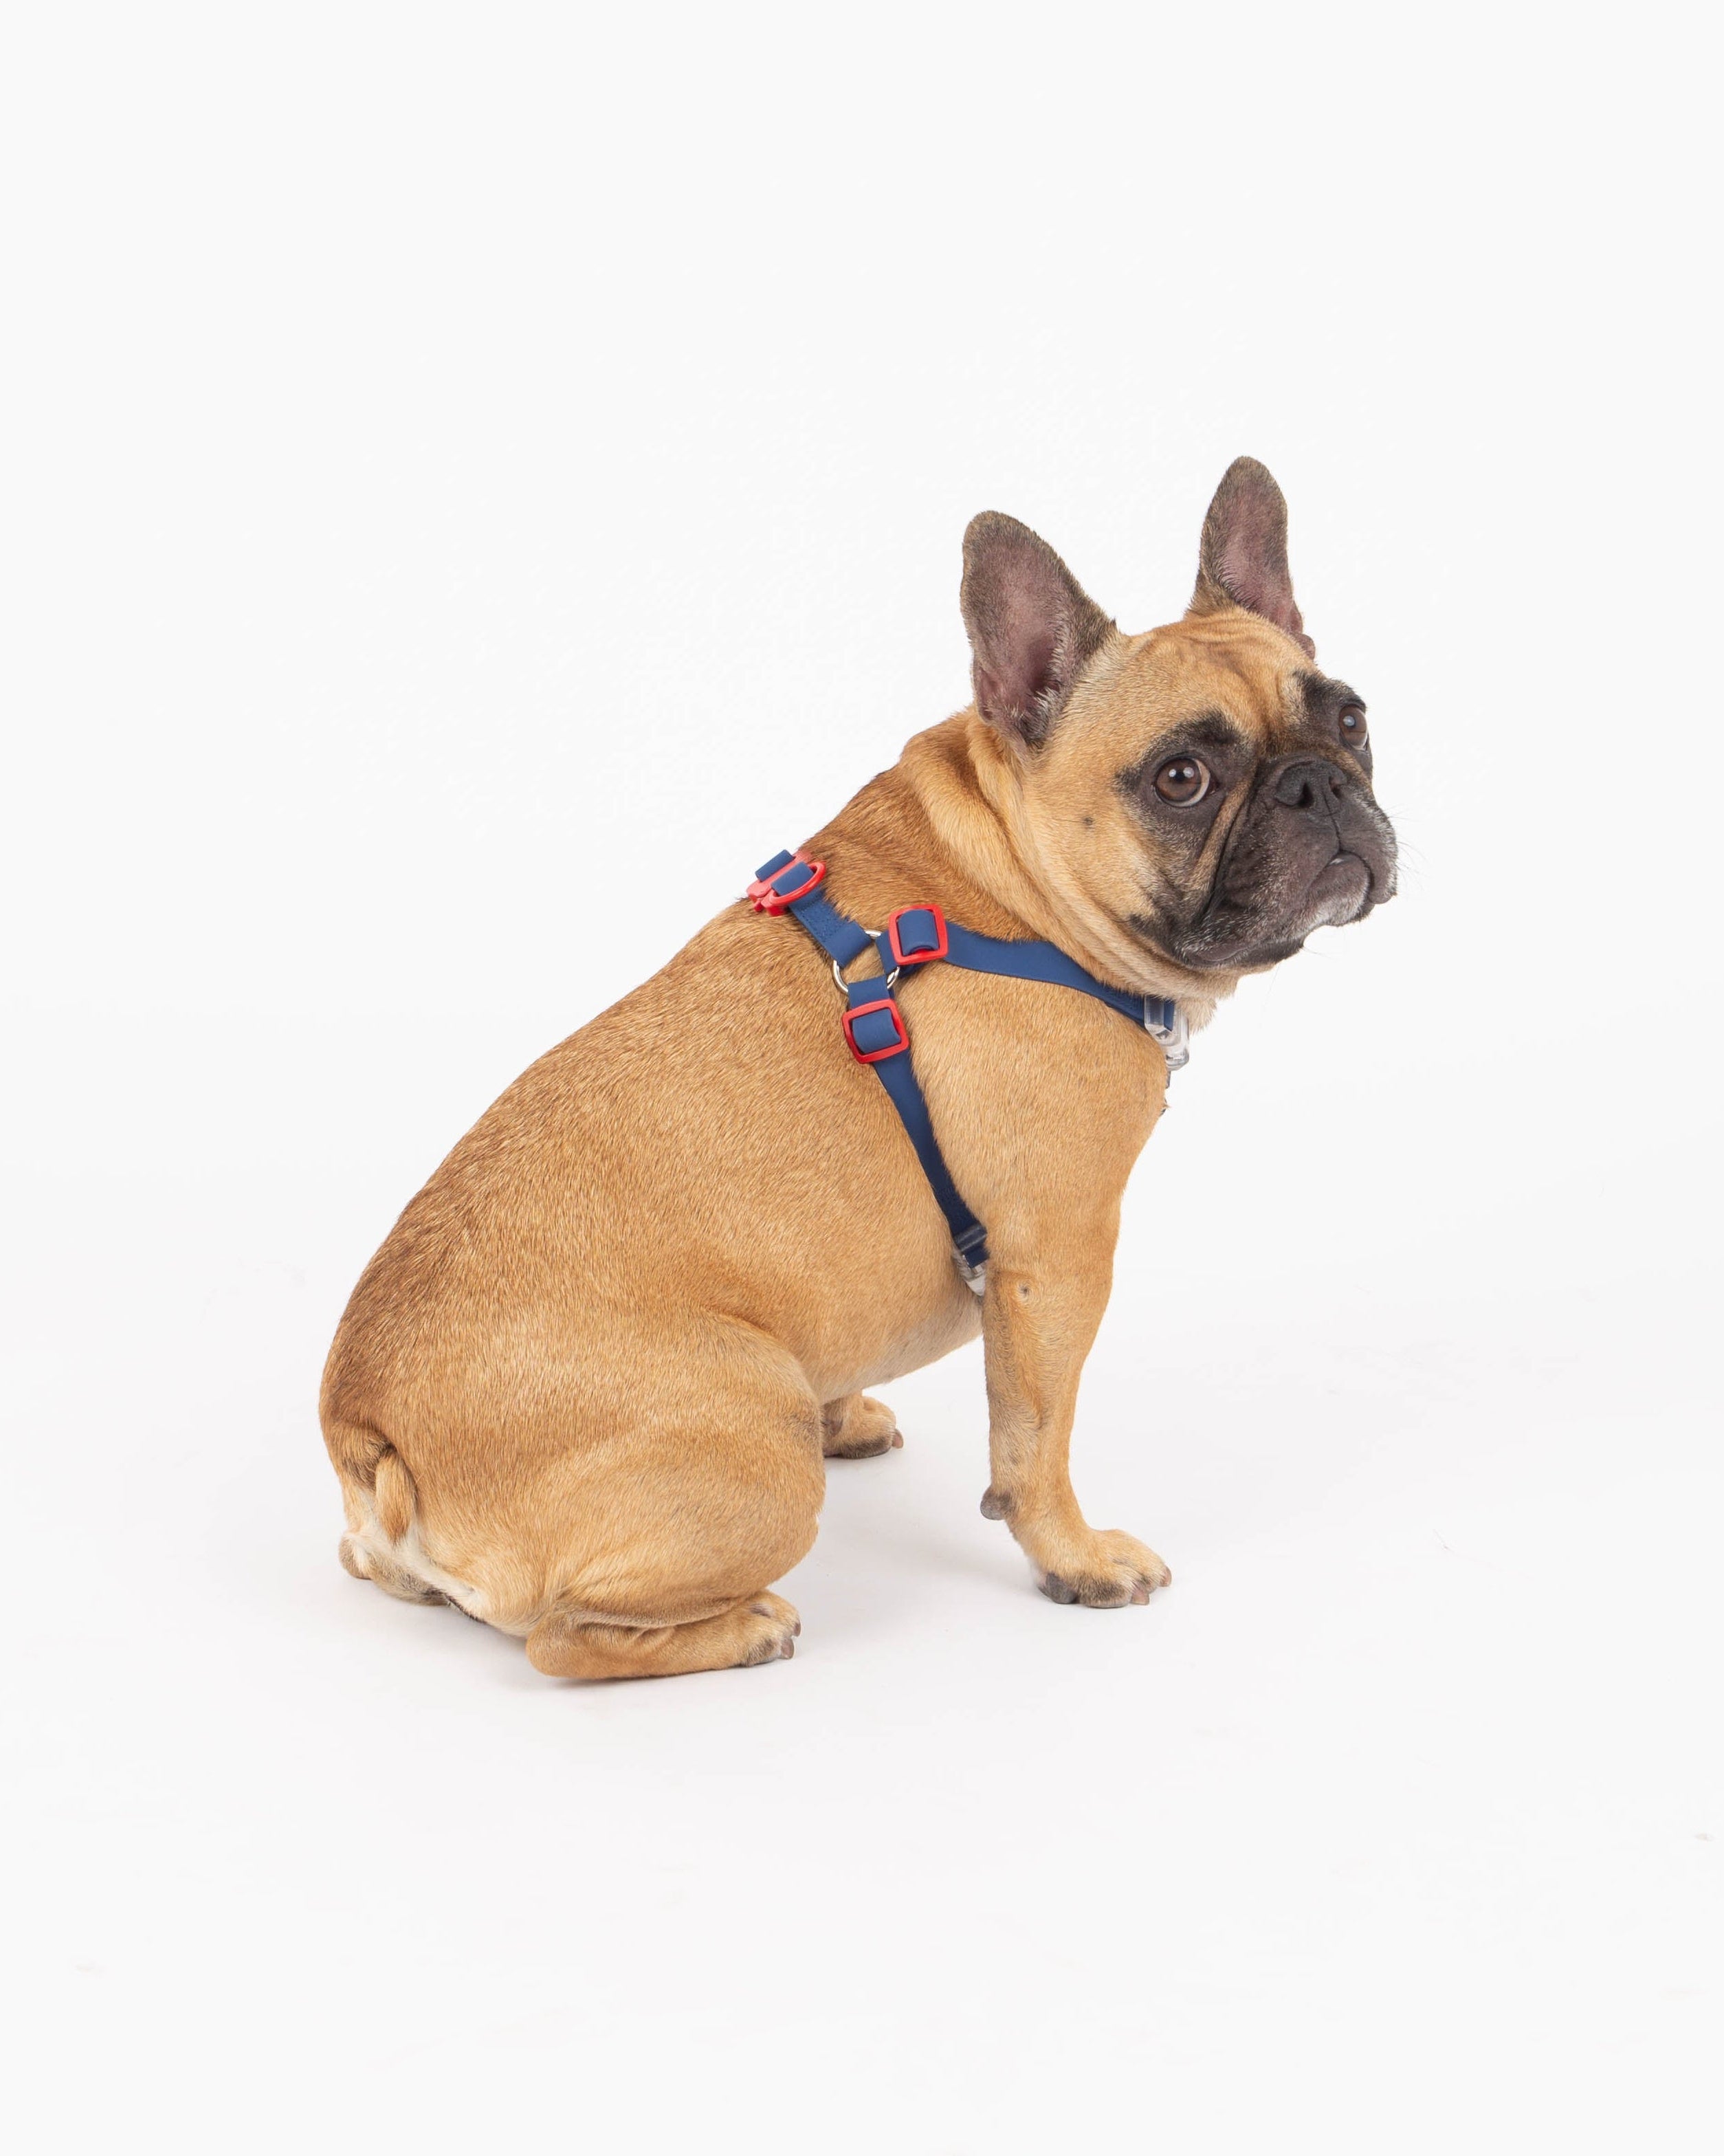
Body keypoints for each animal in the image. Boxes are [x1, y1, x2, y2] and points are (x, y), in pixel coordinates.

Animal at [321, 457, 1397, 1678]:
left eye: (1351, 720)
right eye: (1181, 777)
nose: (1319, 786)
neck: (1004, 883)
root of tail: (371, 1441)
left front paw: (855, 1412)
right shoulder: (1057, 1259)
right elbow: (1036, 1444)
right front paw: (1075, 1559)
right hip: (754, 1448)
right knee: (563, 1641)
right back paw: (746, 1627)